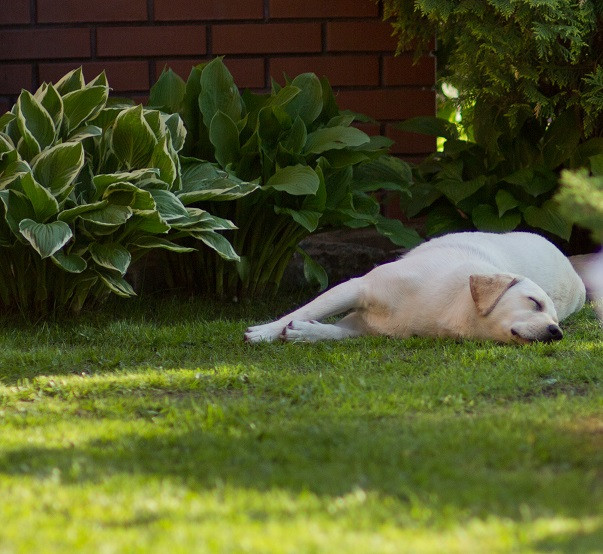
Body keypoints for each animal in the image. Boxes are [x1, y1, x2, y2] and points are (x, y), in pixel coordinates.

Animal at [244, 231, 584, 342]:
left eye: (555, 319)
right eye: (534, 302)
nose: (556, 332)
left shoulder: (369, 328)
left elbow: (337, 333)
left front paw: (306, 333)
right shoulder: (358, 287)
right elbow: (305, 309)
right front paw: (264, 332)